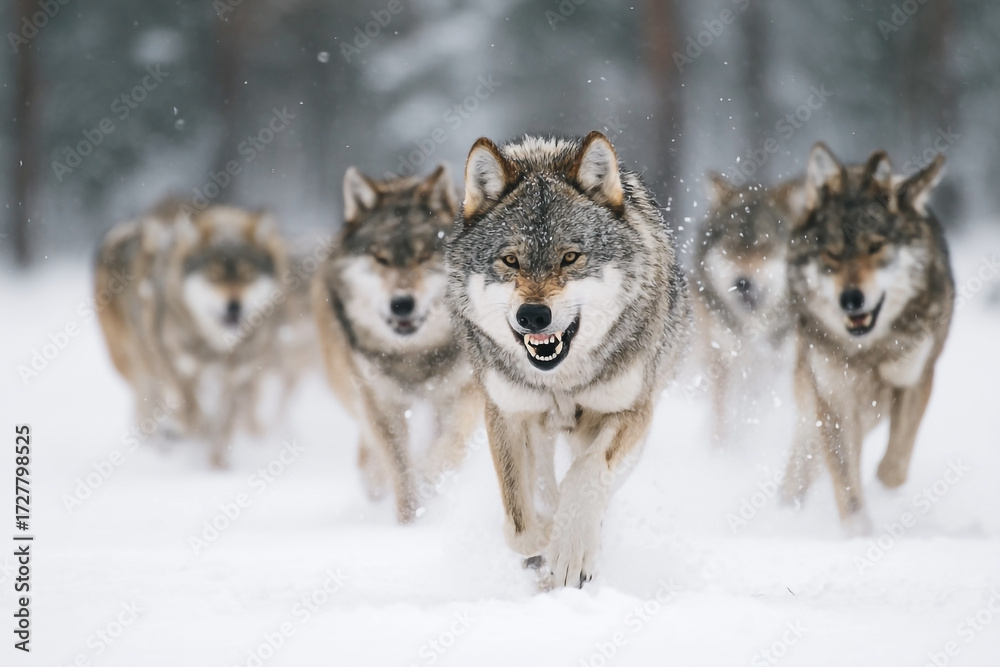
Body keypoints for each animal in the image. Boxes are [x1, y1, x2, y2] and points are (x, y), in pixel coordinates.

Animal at [95, 202, 288, 467]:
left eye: (247, 275)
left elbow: (223, 429)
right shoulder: (175, 366)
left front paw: (218, 467)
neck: (218, 349)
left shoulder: (239, 377)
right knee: (146, 408)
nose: (234, 306)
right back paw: (161, 443)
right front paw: (193, 433)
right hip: (137, 367)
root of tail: (131, 225)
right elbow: (193, 416)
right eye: (213, 276)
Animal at [312, 165, 480, 523]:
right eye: (381, 259)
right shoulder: (381, 401)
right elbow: (400, 469)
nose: (401, 304)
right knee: (369, 447)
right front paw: (408, 524)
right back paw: (372, 479)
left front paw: (433, 473)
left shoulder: (466, 389)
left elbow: (452, 442)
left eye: (424, 256)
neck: (416, 354)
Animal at [445, 132, 691, 588]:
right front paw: (545, 536)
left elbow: (587, 473)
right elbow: (520, 521)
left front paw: (572, 549)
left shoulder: (630, 410)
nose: (533, 315)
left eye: (570, 257)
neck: (560, 380)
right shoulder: (507, 413)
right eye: (511, 260)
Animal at [691, 174, 805, 443]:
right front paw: (720, 449)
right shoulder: (721, 361)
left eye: (765, 247)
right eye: (731, 247)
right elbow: (722, 416)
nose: (742, 282)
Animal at [783, 143, 953, 533]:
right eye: (831, 253)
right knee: (805, 449)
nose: (850, 299)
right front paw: (859, 533)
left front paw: (884, 483)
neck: (869, 349)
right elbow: (846, 481)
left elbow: (895, 464)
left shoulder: (916, 378)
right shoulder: (834, 399)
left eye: (875, 247)